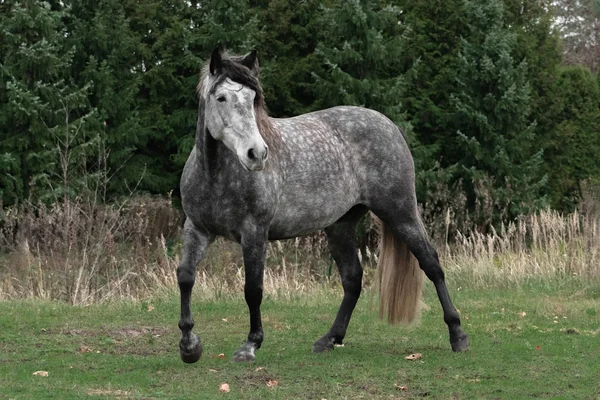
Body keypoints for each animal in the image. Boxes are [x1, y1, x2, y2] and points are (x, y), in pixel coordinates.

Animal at [176, 47, 472, 362]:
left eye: (253, 98)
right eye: (220, 97)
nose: (256, 154)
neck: (216, 175)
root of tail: (388, 125)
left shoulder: (254, 232)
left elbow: (253, 289)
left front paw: (250, 344)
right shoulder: (197, 229)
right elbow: (185, 277)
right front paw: (189, 345)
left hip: (400, 212)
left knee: (431, 264)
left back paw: (457, 334)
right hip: (340, 225)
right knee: (353, 279)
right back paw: (330, 338)